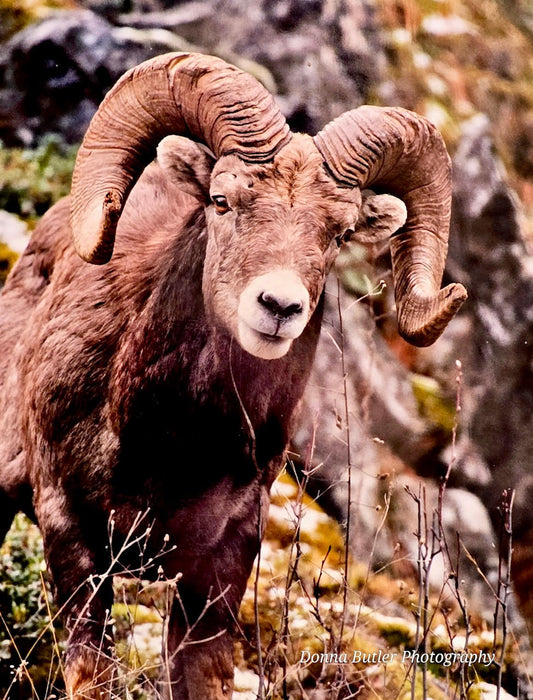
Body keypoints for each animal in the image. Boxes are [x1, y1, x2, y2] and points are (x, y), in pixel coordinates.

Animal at [0, 52, 467, 699]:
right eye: (222, 201)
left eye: (341, 233)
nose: (278, 306)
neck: (168, 451)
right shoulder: (71, 530)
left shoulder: (225, 563)